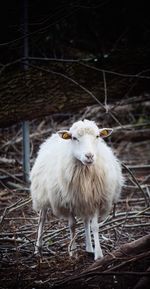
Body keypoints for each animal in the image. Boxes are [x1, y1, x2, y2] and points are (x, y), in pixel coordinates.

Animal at [29, 118, 123, 258]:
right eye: (74, 138)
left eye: (97, 136)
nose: (89, 156)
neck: (85, 173)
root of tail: (53, 137)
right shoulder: (67, 201)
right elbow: (72, 225)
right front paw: (73, 251)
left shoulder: (95, 199)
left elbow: (94, 226)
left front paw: (98, 254)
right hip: (42, 193)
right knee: (42, 219)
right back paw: (38, 248)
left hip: (85, 200)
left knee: (86, 220)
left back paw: (89, 248)